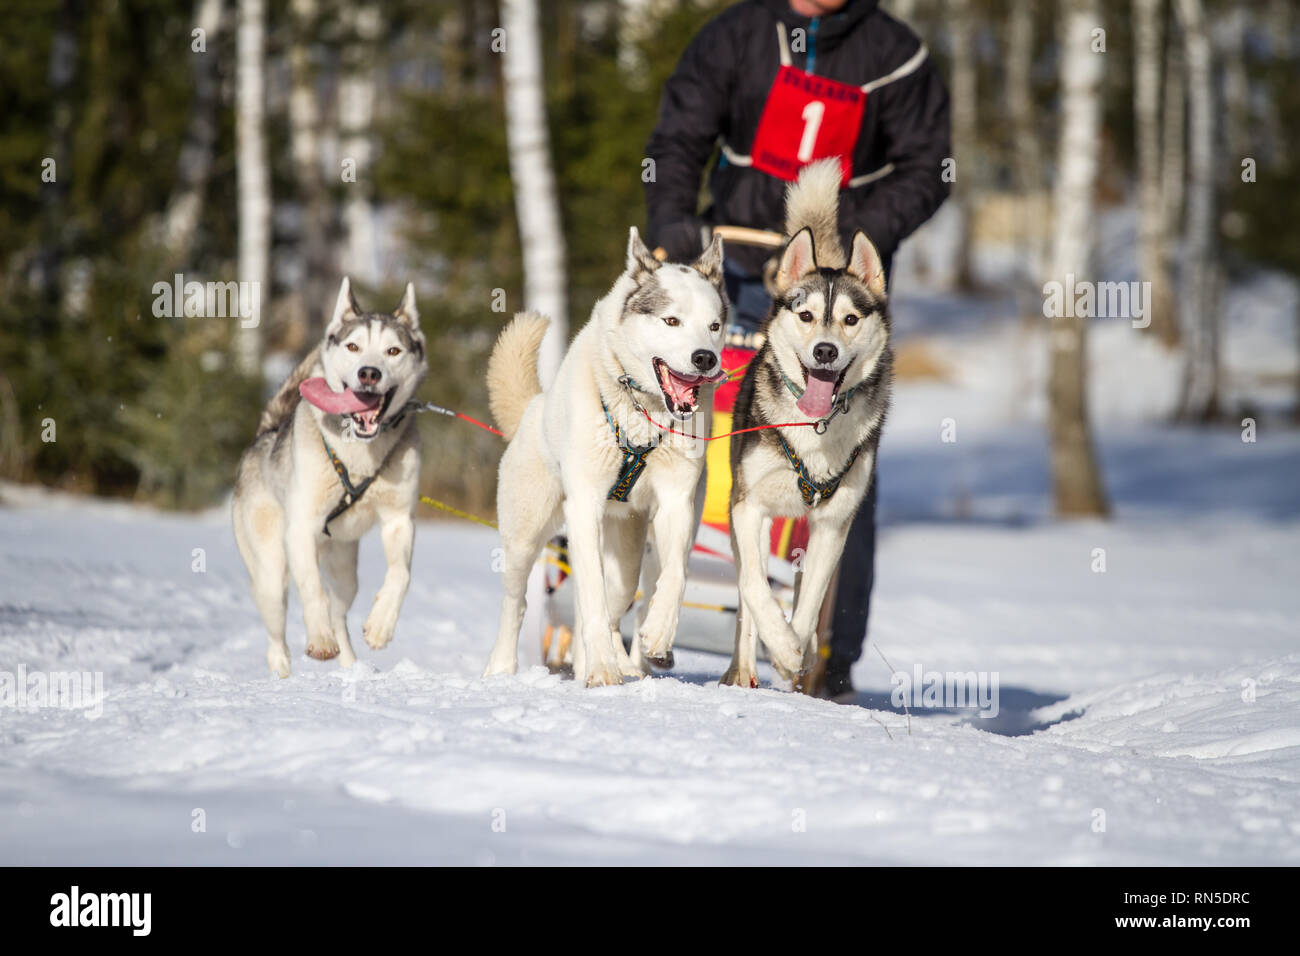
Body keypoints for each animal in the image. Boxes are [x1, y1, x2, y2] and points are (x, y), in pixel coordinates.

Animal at [232, 277, 426, 681]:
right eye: (353, 346)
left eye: (393, 350)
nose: (369, 373)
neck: (359, 455)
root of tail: (267, 433)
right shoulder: (301, 527)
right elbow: (312, 588)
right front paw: (319, 639)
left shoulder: (399, 520)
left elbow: (400, 575)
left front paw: (381, 625)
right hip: (271, 570)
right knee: (278, 631)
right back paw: (282, 671)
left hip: (345, 569)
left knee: (340, 612)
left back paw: (352, 666)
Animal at [486, 227, 733, 686]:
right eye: (671, 321)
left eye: (714, 325)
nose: (705, 358)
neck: (643, 414)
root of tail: (534, 407)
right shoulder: (584, 505)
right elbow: (591, 600)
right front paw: (602, 670)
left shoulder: (677, 502)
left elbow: (675, 573)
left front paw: (656, 633)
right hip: (525, 537)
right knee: (519, 603)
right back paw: (503, 667)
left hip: (629, 549)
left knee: (616, 599)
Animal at [722, 162, 894, 686]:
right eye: (806, 315)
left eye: (851, 319)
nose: (825, 350)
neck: (813, 431)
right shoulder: (748, 507)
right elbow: (755, 588)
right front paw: (778, 644)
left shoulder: (833, 526)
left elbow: (811, 600)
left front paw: (794, 649)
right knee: (747, 595)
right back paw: (744, 668)